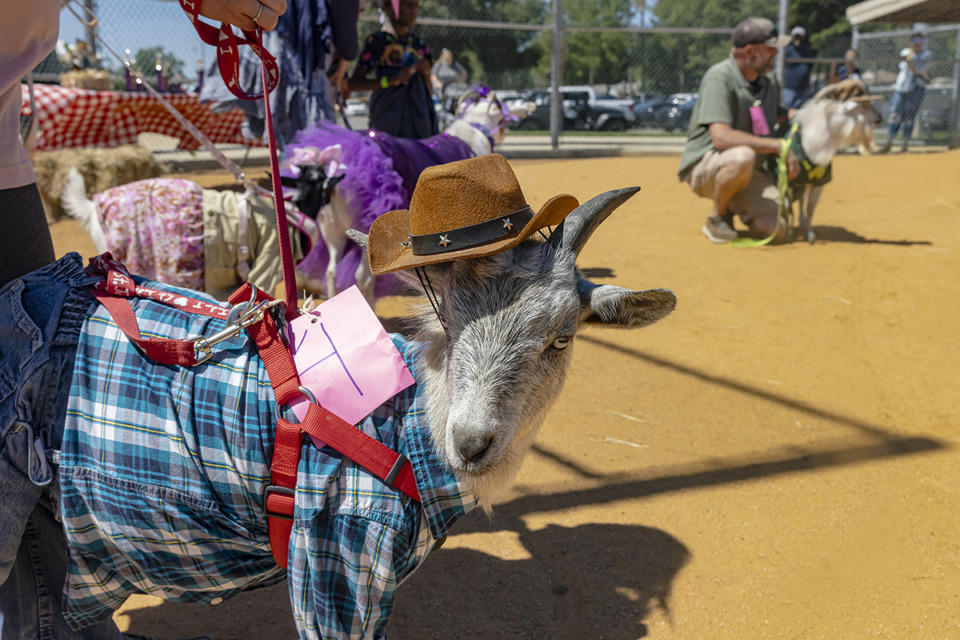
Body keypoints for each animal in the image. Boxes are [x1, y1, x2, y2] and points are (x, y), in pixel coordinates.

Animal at [784, 78, 880, 242]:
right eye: (864, 105)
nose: (880, 118)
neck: (812, 145)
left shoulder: (819, 182)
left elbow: (810, 208)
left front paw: (810, 234)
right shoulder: (790, 179)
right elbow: (786, 203)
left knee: (802, 199)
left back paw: (802, 223)